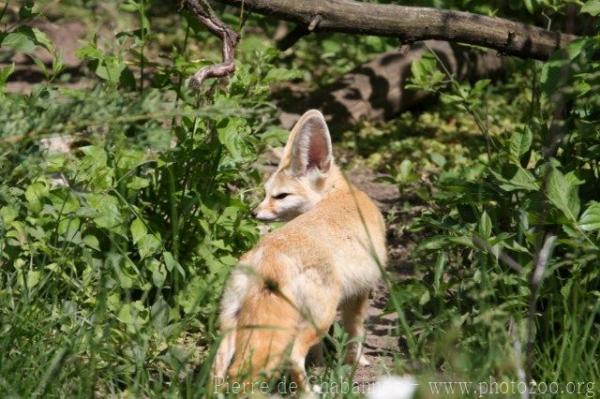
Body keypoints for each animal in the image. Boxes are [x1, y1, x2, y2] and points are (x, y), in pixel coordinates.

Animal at [213, 110, 386, 390]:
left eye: (279, 196)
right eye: (268, 194)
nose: (254, 213)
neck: (337, 195)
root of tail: (267, 255)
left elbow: (319, 350)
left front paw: (320, 364)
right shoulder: (360, 293)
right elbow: (356, 333)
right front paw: (357, 362)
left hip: (230, 323)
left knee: (218, 370)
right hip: (320, 316)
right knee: (293, 356)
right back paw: (309, 391)